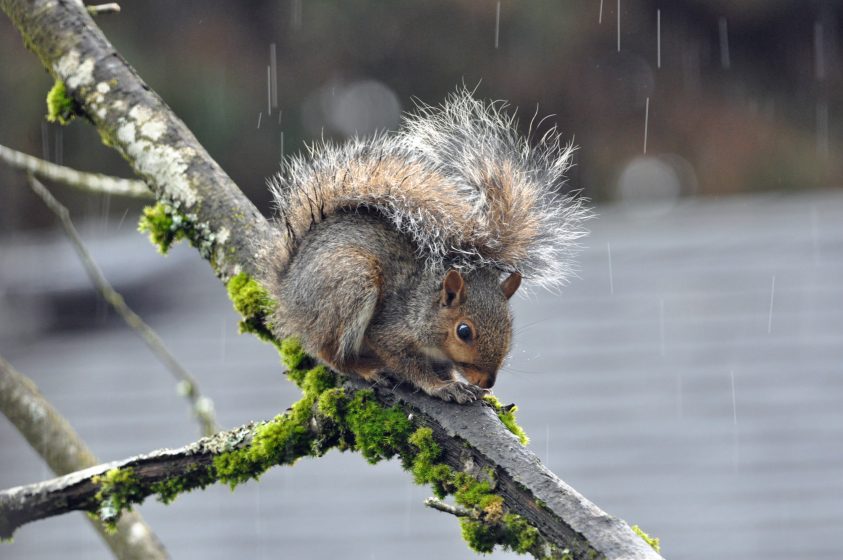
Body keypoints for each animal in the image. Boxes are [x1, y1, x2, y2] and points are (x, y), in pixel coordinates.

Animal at [264, 89, 588, 400]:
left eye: (509, 326)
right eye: (463, 331)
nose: (487, 382)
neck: (423, 304)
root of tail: (288, 292)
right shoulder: (389, 330)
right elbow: (409, 364)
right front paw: (443, 387)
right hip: (349, 281)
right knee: (328, 350)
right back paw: (365, 368)